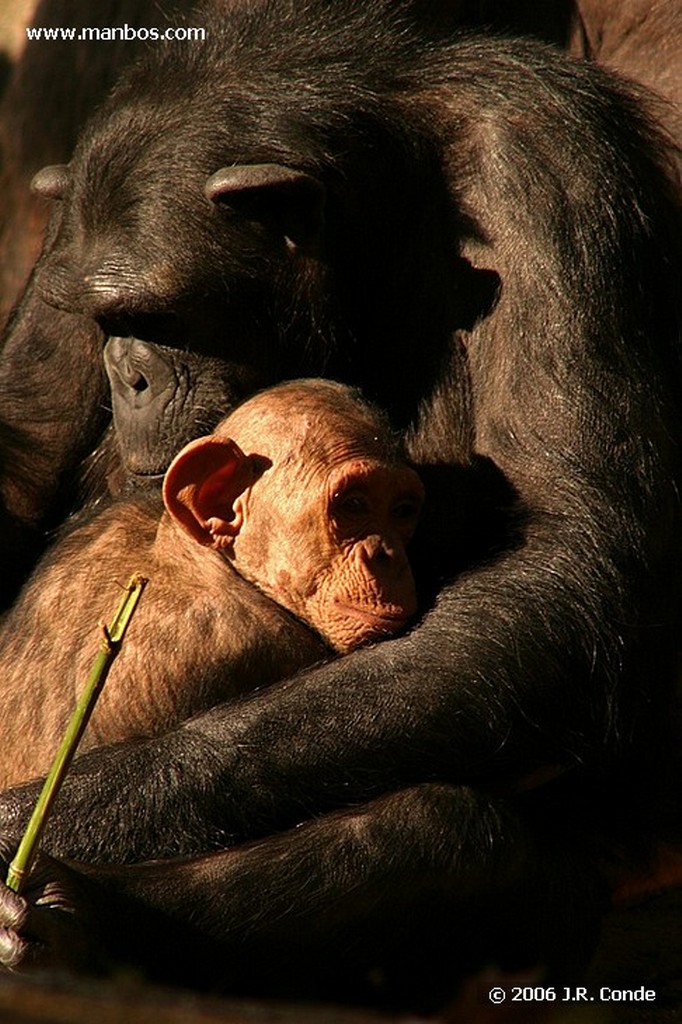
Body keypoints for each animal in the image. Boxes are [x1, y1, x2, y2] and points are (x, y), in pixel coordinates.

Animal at [0, 0, 679, 1007]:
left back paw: (79, 921)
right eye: (104, 318)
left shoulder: (547, 169)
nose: (128, 372)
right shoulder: (67, 238)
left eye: (159, 317)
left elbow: (564, 559)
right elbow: (26, 435)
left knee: (450, 840)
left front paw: (36, 819)